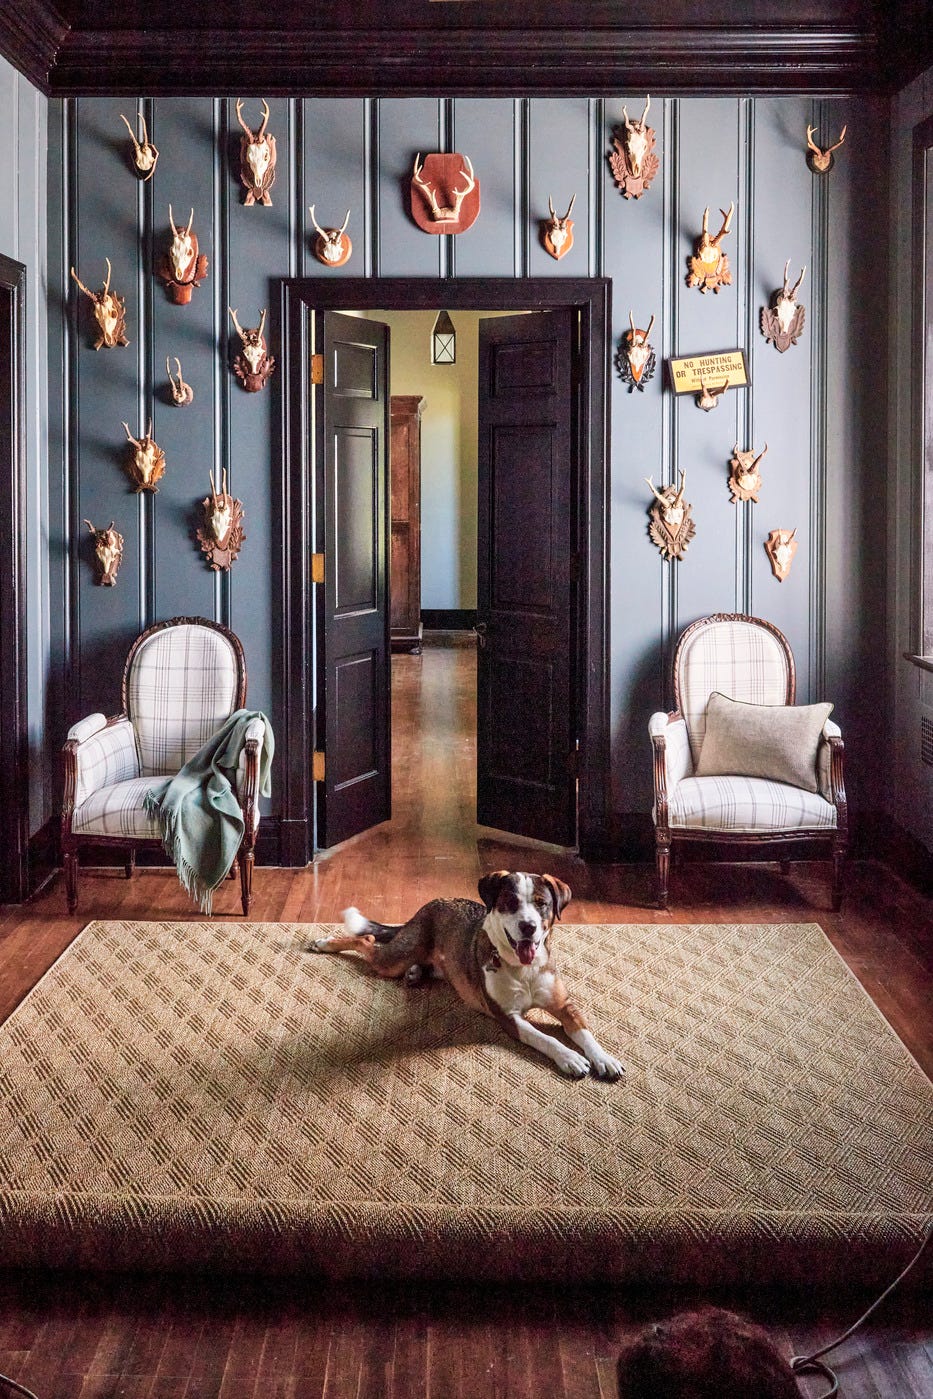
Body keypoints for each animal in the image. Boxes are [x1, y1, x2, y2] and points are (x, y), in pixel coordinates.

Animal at [310, 861, 623, 1080]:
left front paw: (604, 1058)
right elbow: (544, 1037)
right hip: (394, 958)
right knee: (366, 940)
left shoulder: (565, 1005)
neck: (524, 969)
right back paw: (325, 943)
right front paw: (570, 1058)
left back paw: (415, 973)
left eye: (542, 904)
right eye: (510, 903)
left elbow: (585, 1032)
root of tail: (428, 906)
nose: (528, 927)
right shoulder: (508, 1017)